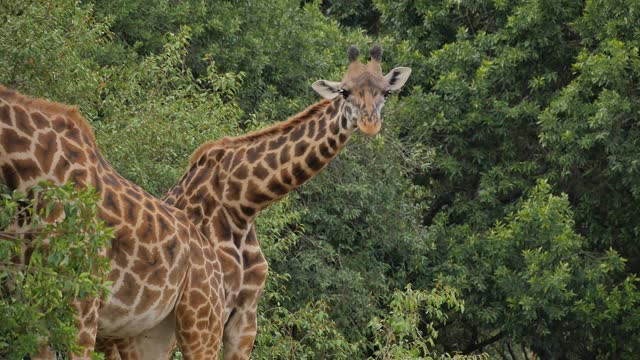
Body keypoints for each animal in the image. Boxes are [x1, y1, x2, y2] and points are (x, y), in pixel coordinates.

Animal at [160, 45, 410, 360]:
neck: (241, 206)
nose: (369, 124)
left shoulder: (246, 314)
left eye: (386, 92)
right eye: (344, 91)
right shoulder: (206, 310)